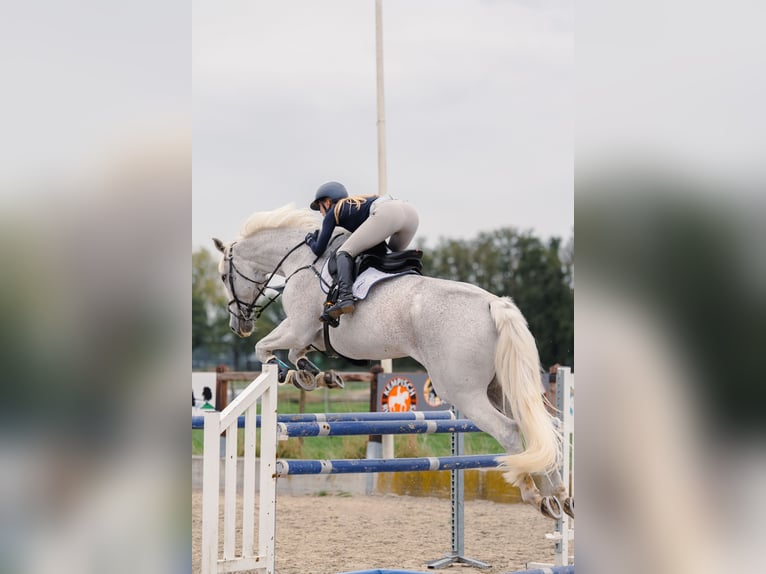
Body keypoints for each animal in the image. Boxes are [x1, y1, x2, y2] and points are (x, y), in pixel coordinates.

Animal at [213, 203, 573, 519]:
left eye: (223, 277)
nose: (237, 325)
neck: (301, 259)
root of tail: (493, 304)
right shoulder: (308, 333)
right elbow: (290, 353)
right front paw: (312, 375)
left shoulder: (299, 327)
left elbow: (264, 349)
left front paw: (292, 373)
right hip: (500, 387)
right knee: (539, 426)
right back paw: (557, 496)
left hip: (463, 392)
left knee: (510, 430)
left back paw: (533, 494)